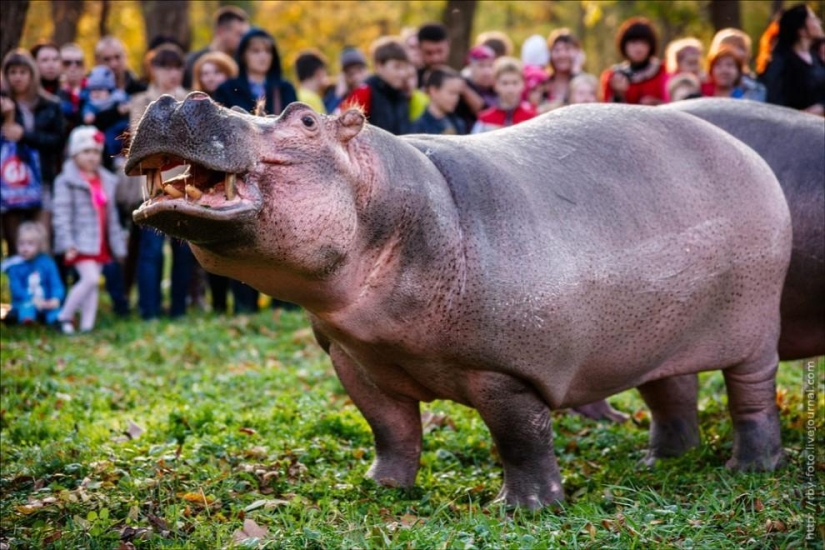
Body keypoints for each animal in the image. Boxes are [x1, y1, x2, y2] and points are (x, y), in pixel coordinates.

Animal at [127, 94, 791, 509]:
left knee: (751, 398)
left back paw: (752, 468)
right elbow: (390, 429)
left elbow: (521, 438)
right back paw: (663, 462)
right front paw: (381, 487)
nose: (177, 99)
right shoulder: (352, 357)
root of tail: (747, 153)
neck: (387, 201)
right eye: (253, 107)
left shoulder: (504, 372)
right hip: (658, 333)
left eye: (306, 120)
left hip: (755, 335)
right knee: (670, 390)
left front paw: (526, 508)